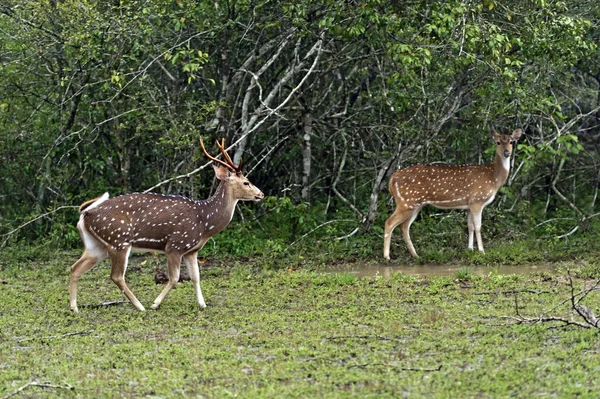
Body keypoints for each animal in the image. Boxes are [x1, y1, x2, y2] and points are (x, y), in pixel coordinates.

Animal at [69, 140, 262, 312]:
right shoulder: (175, 245)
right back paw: (140, 306)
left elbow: (196, 277)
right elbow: (175, 278)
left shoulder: (191, 250)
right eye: (246, 182)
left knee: (75, 268)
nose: (261, 194)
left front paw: (202, 304)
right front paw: (155, 304)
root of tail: (86, 214)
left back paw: (75, 308)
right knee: (116, 276)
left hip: (98, 246)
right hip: (119, 241)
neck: (205, 224)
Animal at [384, 129, 520, 260]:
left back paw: (415, 255)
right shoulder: (477, 200)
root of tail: (392, 179)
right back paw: (387, 256)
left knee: (404, 226)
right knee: (389, 222)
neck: (493, 178)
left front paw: (470, 249)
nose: (507, 153)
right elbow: (478, 226)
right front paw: (482, 251)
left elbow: (470, 226)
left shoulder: (469, 204)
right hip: (407, 201)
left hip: (415, 204)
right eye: (498, 142)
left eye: (511, 142)